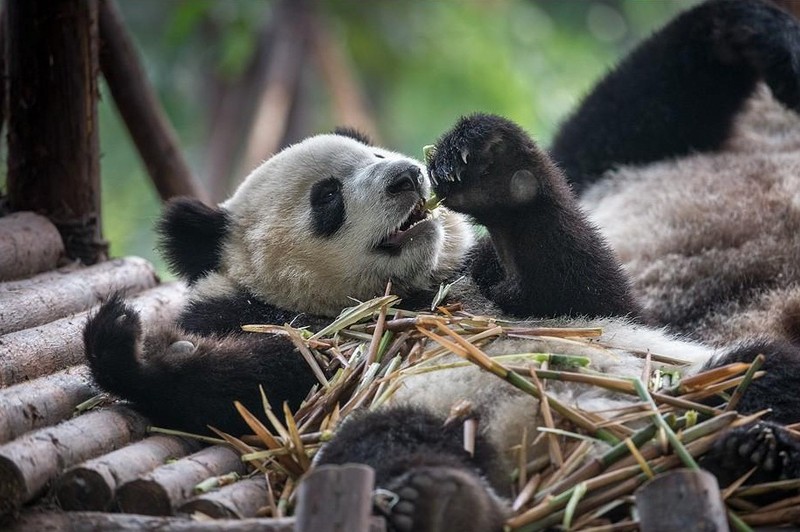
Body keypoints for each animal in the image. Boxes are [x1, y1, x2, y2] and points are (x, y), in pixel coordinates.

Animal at [86, 2, 800, 528]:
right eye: (327, 197)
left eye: (377, 155)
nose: (406, 176)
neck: (404, 292)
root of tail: (563, 453)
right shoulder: (275, 326)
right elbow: (253, 391)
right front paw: (126, 345)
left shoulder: (492, 281)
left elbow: (589, 297)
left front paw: (496, 168)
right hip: (441, 418)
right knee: (385, 444)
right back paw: (447, 502)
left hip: (682, 377)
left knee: (765, 372)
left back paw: (759, 448)